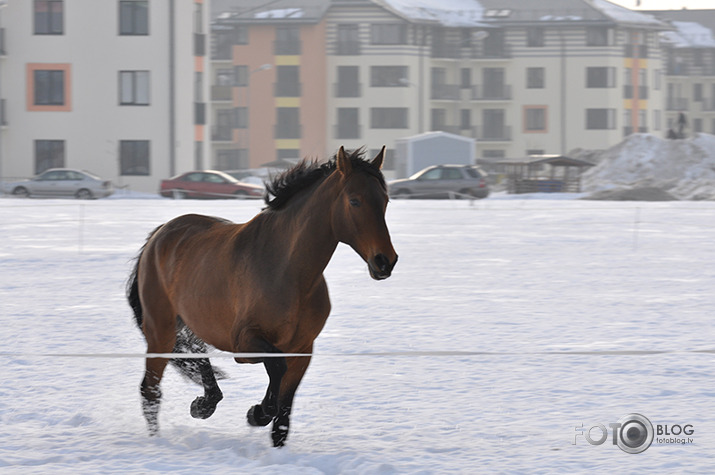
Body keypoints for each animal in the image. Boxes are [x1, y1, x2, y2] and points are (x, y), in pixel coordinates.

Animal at [127, 148, 398, 446]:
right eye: (355, 200)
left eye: (385, 200)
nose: (385, 261)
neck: (287, 272)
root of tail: (160, 234)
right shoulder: (245, 343)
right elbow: (276, 367)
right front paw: (257, 412)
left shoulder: (303, 350)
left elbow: (283, 415)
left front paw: (264, 420)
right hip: (160, 329)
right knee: (150, 389)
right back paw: (159, 440)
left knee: (193, 352)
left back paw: (205, 403)